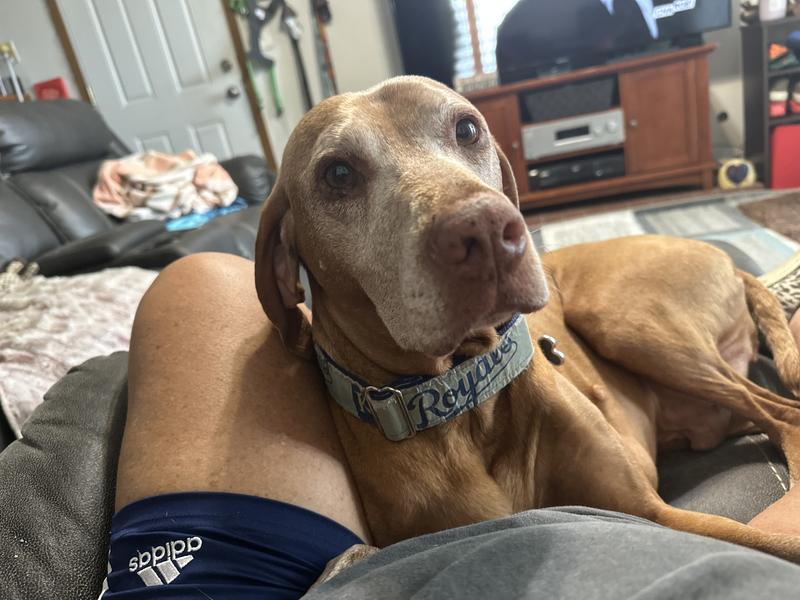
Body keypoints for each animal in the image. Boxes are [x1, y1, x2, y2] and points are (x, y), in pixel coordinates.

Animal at [254, 76, 800, 564]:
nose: (485, 229)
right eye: (338, 174)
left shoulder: (654, 513)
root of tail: (728, 259)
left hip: (626, 322)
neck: (469, 399)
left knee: (783, 414)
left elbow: (771, 547)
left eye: (467, 129)